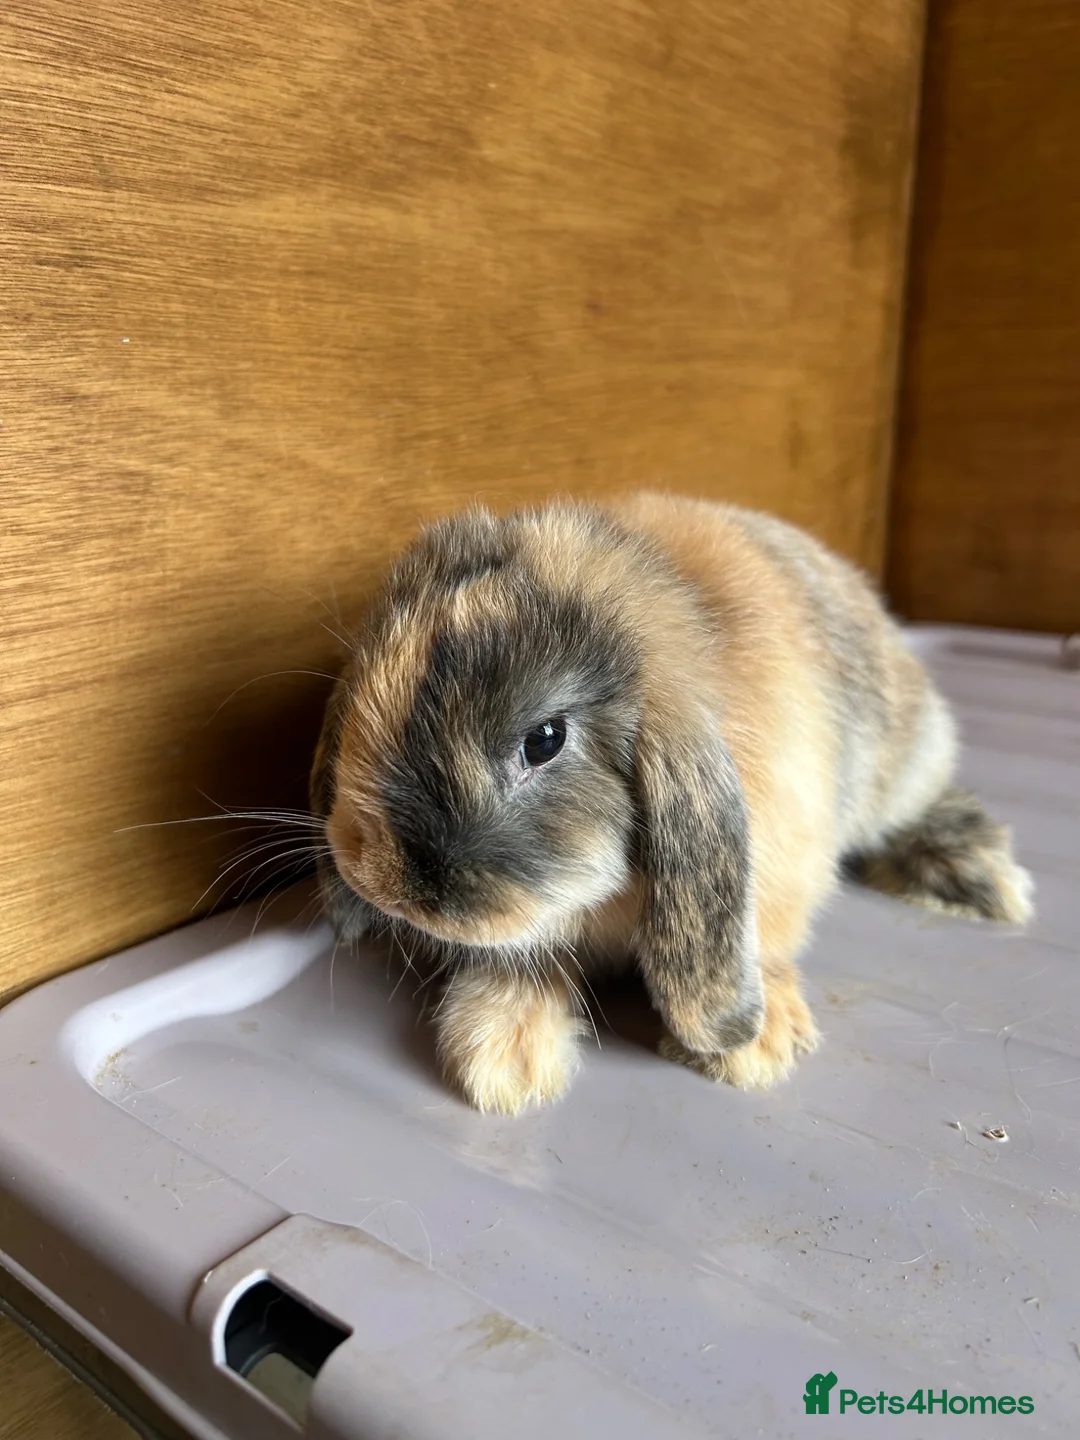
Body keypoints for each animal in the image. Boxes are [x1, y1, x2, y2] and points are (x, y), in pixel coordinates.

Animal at [310, 492, 1033, 1114]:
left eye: (544, 740)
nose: (387, 881)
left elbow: (768, 941)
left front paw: (756, 1050)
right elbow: (532, 959)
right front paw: (505, 1058)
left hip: (905, 764)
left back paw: (972, 877)